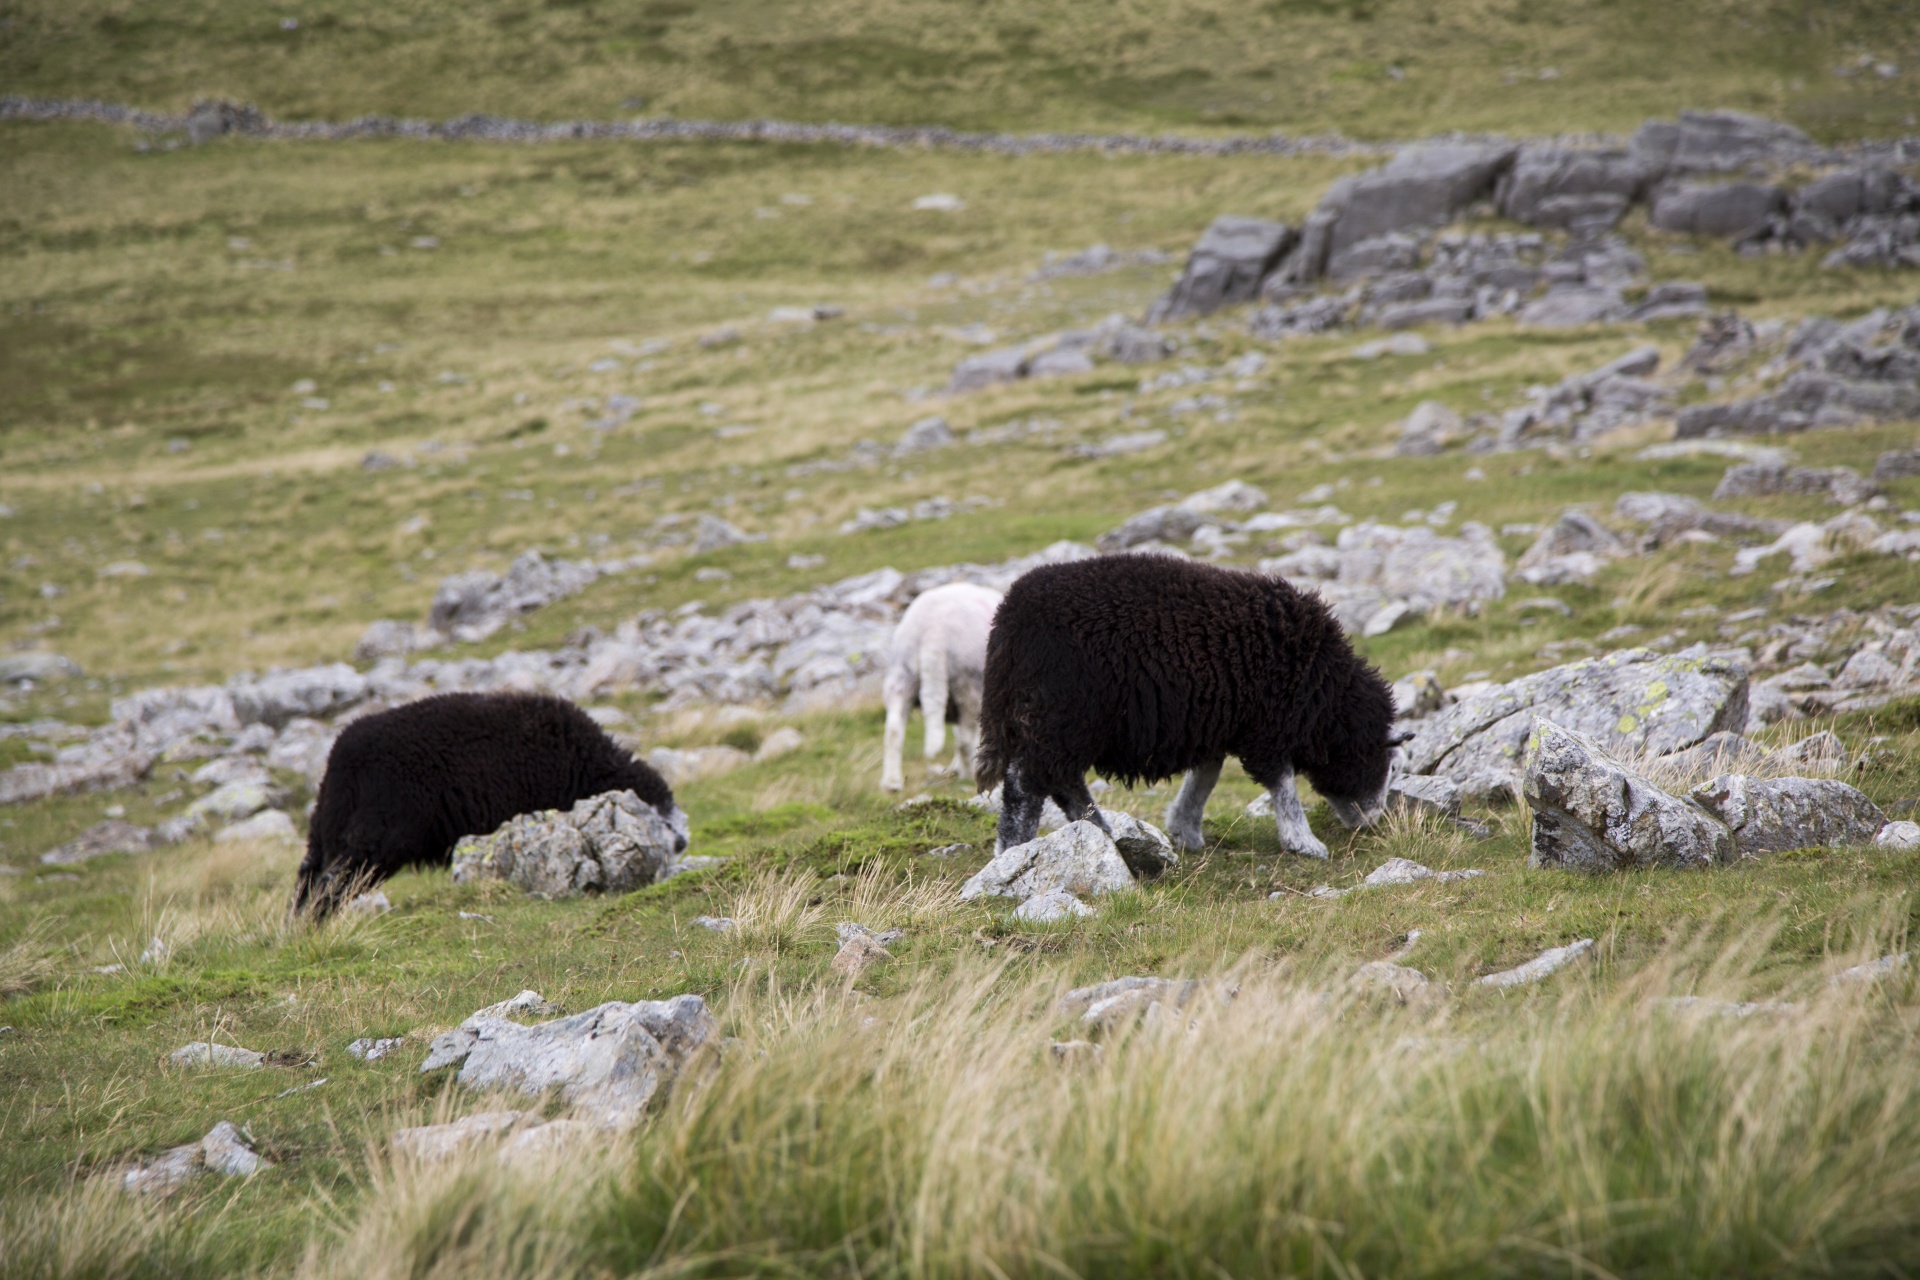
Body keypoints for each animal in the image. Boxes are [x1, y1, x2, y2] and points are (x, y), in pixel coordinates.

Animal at [291, 690, 691, 921]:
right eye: (656, 815)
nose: (683, 841)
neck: (585, 768)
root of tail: (341, 757)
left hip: (327, 829)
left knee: (307, 880)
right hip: (376, 838)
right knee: (331, 886)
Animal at [879, 583, 1006, 790]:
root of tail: (934, 629)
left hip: (902, 674)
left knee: (894, 729)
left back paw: (892, 783)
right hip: (967, 680)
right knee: (964, 738)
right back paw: (968, 774)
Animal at [975, 552, 1397, 859]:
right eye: (1375, 756)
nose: (1373, 820)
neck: (1322, 690)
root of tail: (1008, 622)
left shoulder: (1217, 720)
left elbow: (1205, 776)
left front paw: (1185, 831)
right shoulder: (1267, 728)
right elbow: (1283, 786)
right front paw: (1304, 842)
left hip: (1062, 726)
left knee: (1064, 783)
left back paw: (1102, 832)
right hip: (1058, 717)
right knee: (1025, 785)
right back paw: (1012, 849)